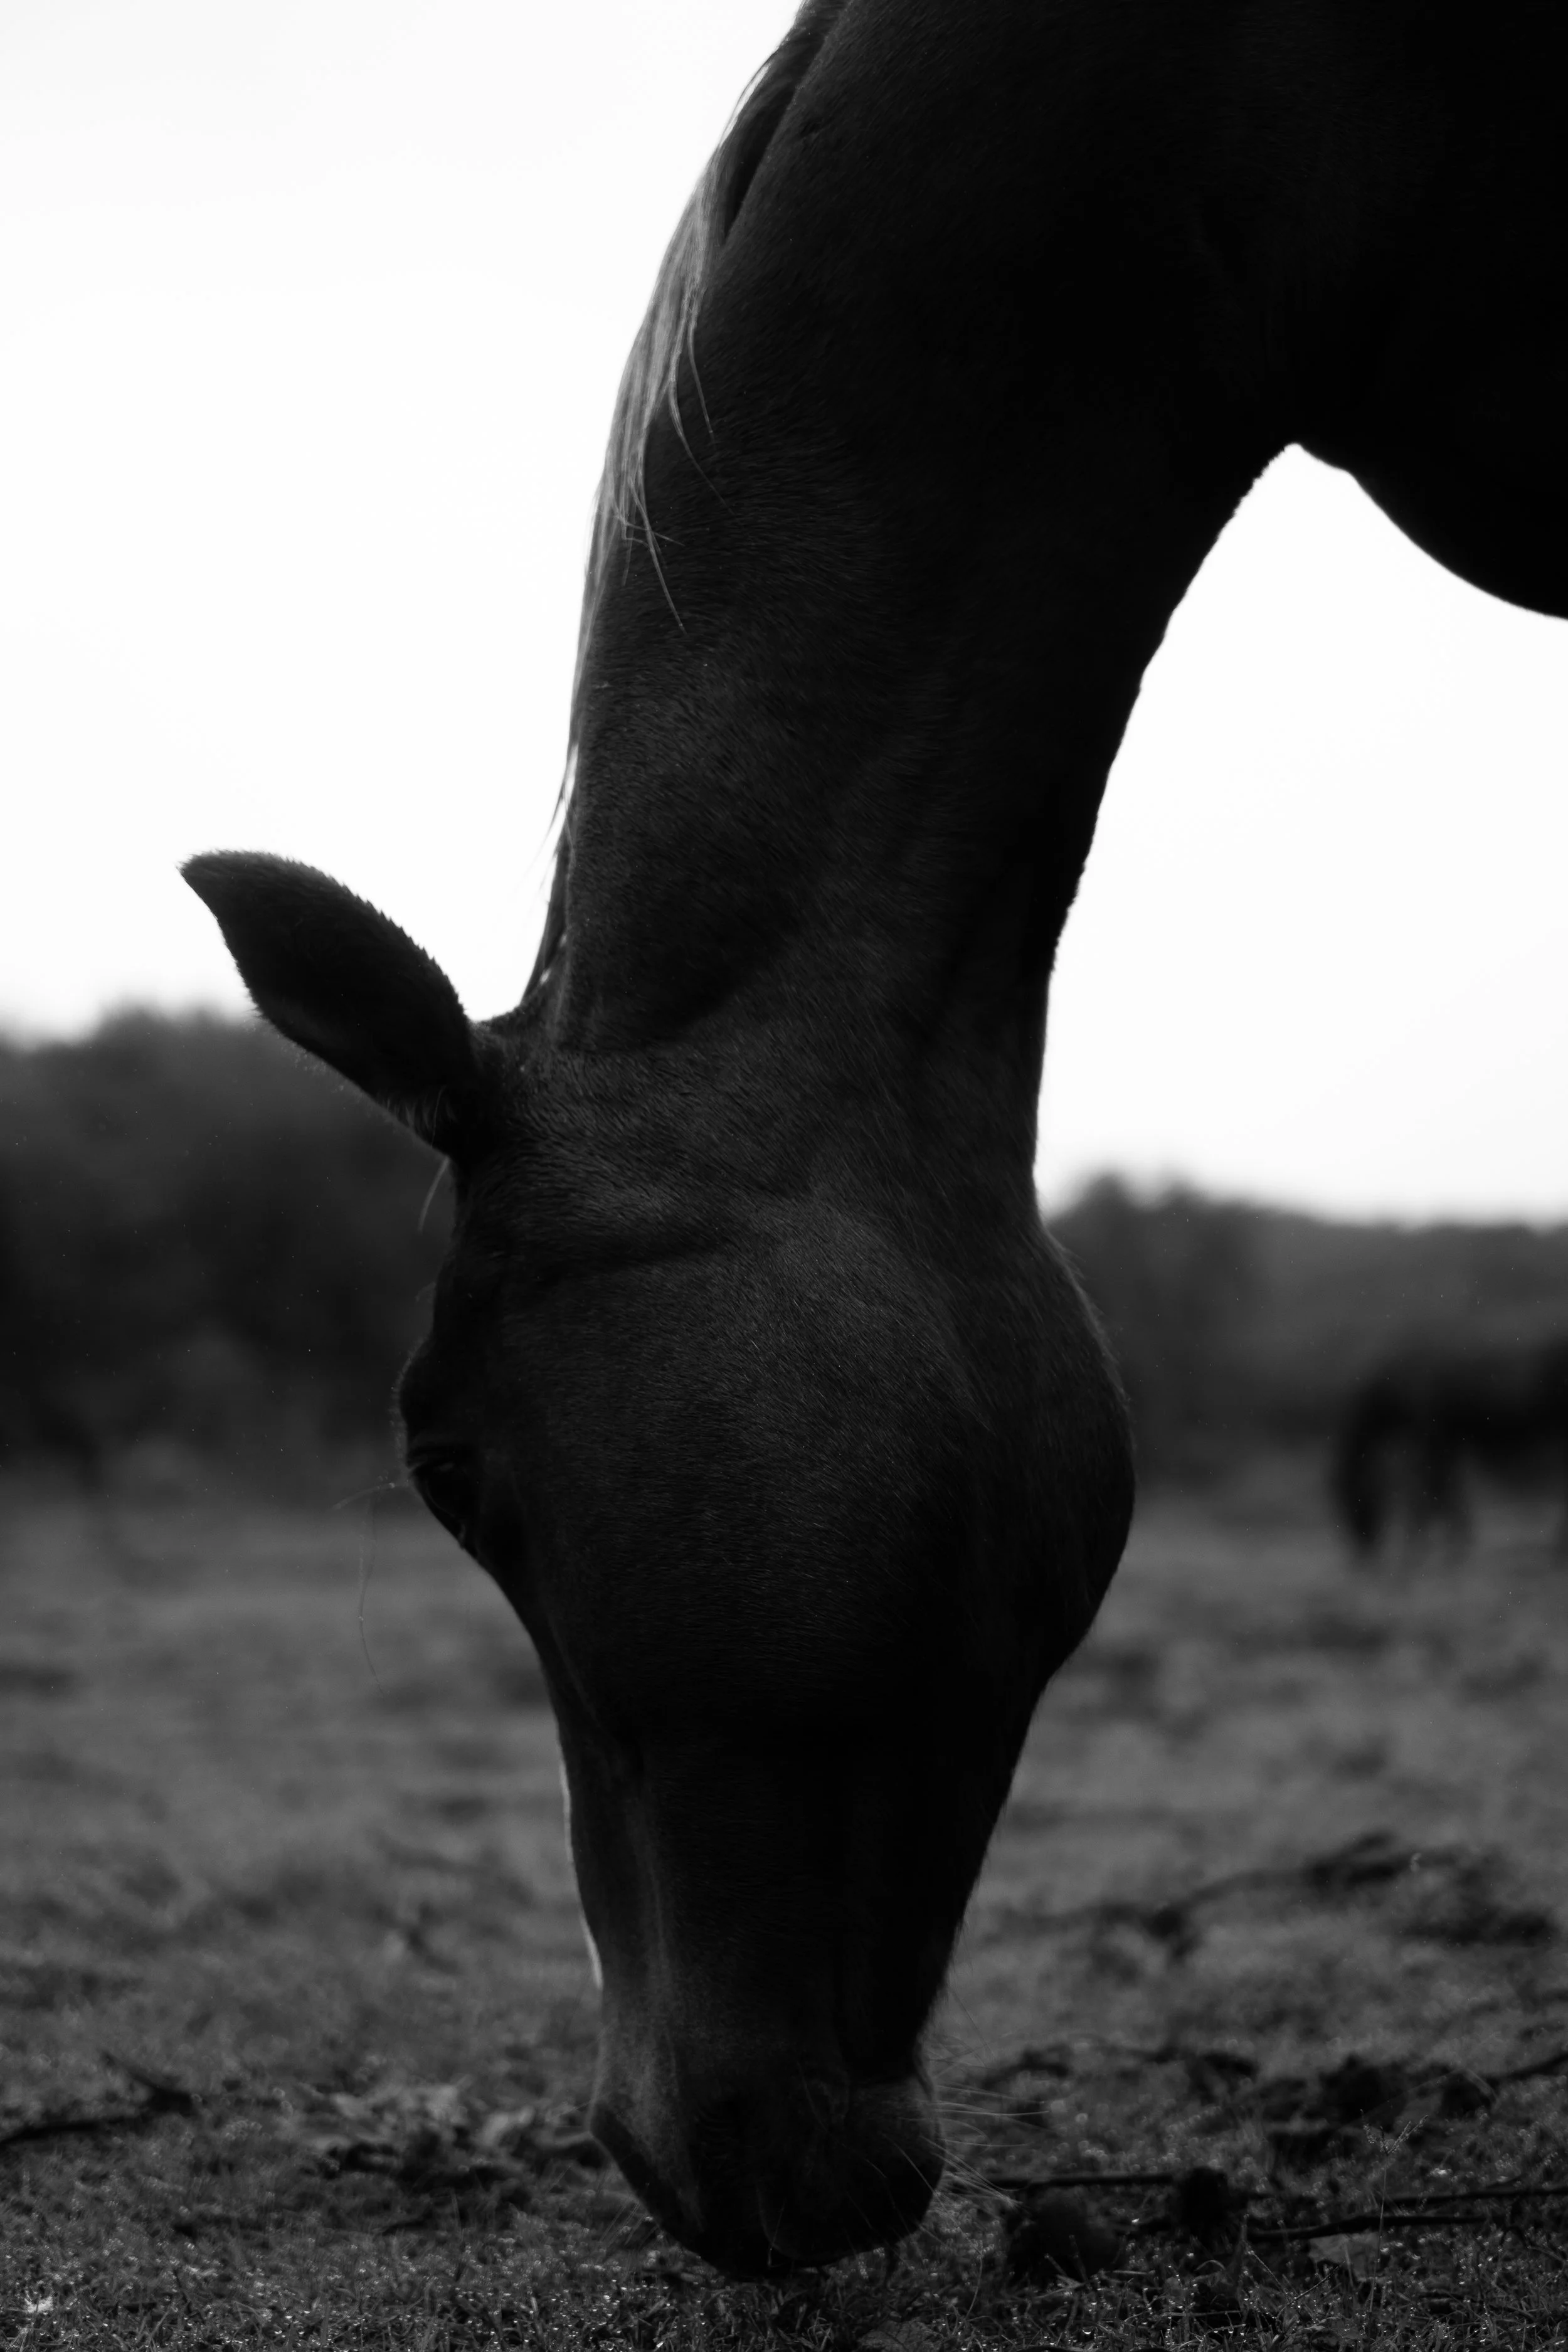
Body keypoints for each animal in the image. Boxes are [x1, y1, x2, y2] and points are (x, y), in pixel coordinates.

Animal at [1333, 1338, 1568, 1561]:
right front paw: (1458, 1538)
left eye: (1351, 1494)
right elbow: (1446, 1489)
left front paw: (1425, 1544)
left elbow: (1431, 1492)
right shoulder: (1448, 1441)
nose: (1363, 1547)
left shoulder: (1431, 1437)